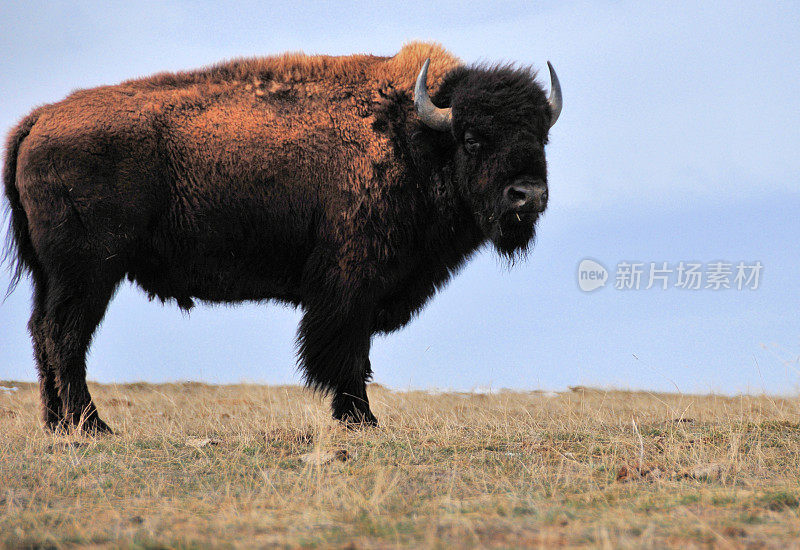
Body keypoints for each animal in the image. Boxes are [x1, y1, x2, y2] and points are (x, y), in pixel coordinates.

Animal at [1, 42, 564, 432]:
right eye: (472, 139)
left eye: (541, 137)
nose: (528, 195)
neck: (414, 137)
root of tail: (39, 119)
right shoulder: (349, 286)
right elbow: (345, 354)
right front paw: (361, 420)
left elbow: (352, 355)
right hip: (90, 272)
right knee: (66, 335)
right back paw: (94, 426)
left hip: (51, 275)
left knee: (41, 332)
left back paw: (57, 425)